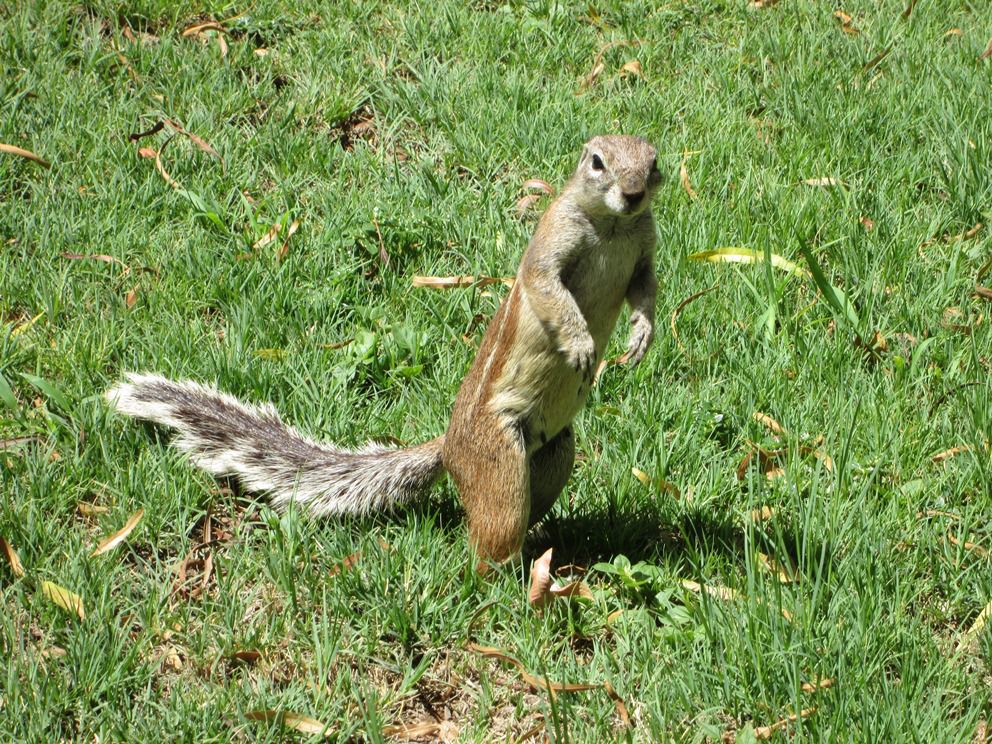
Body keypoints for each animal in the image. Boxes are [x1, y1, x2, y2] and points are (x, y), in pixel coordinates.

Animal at [106, 135, 660, 564]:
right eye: (597, 162)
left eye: (654, 161)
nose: (634, 193)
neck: (613, 227)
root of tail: (449, 448)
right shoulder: (548, 252)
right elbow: (549, 291)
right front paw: (583, 345)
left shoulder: (644, 252)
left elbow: (646, 289)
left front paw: (641, 336)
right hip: (497, 461)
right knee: (491, 532)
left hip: (553, 455)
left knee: (530, 506)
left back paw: (542, 544)